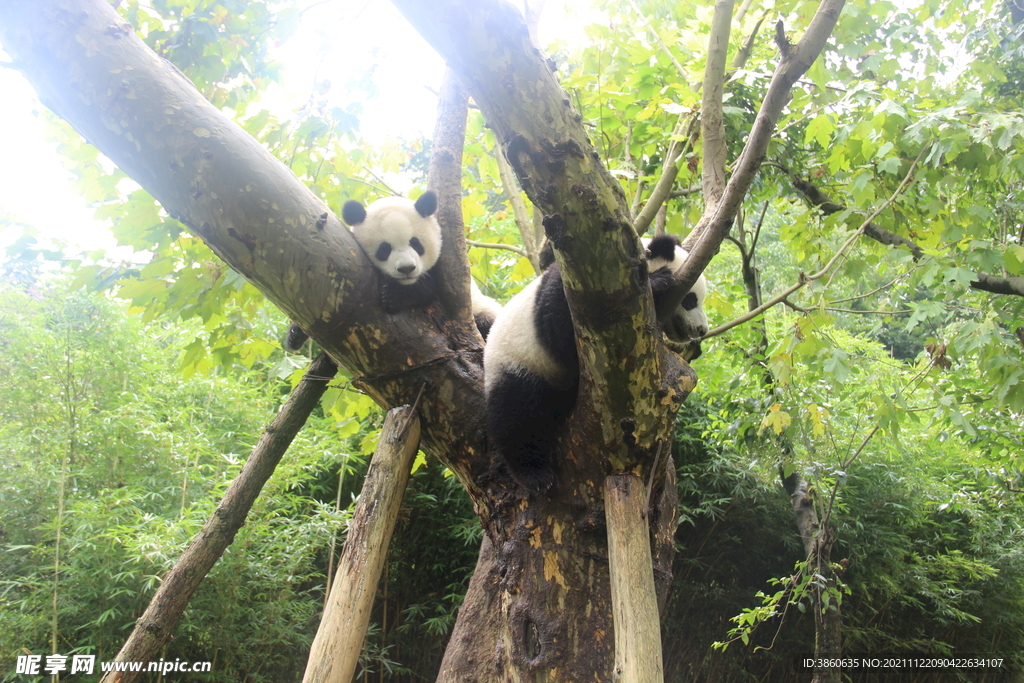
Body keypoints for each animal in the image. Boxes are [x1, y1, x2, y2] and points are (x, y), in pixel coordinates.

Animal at [286, 192, 501, 352]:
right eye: (384, 249)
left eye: (416, 244)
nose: (407, 269)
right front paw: (295, 334)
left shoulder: (449, 271)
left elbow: (430, 288)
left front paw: (394, 296)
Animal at [483, 235, 708, 491]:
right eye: (690, 300)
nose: (702, 330)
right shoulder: (570, 291)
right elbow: (560, 333)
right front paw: (659, 282)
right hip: (520, 364)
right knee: (518, 413)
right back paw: (534, 474)